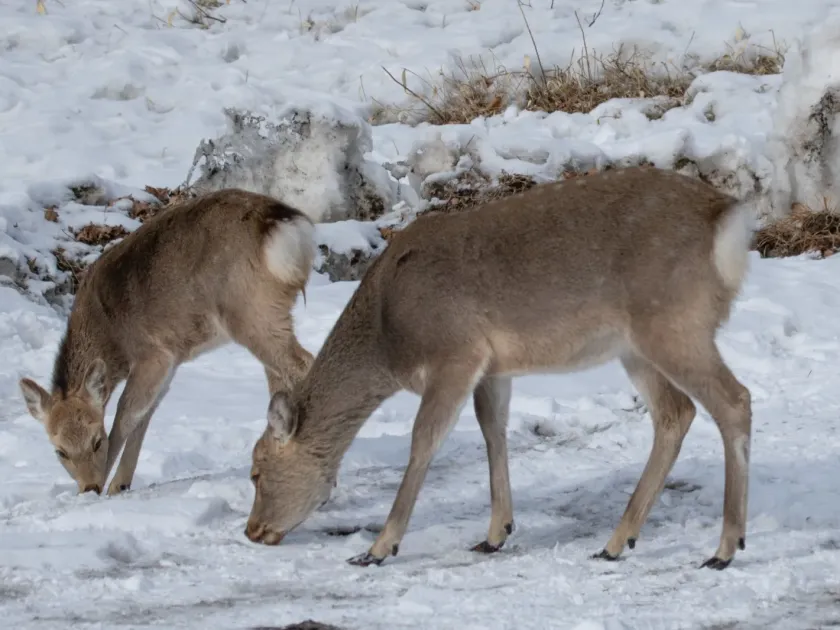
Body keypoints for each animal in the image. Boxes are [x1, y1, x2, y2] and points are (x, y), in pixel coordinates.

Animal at [18, 188, 317, 497]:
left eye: (97, 440)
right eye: (60, 452)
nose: (89, 487)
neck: (110, 337)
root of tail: (287, 227)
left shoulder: (153, 353)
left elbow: (127, 413)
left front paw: (109, 484)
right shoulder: (172, 358)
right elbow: (147, 412)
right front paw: (120, 483)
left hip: (250, 312)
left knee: (302, 363)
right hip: (268, 314)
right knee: (280, 377)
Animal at [245, 166, 755, 571]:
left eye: (256, 471)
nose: (252, 531)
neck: (388, 338)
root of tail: (727, 220)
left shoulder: (454, 353)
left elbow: (424, 440)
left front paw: (377, 548)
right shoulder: (492, 367)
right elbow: (493, 430)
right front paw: (495, 534)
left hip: (672, 322)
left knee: (735, 400)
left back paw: (724, 548)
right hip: (636, 346)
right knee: (676, 412)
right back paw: (616, 542)